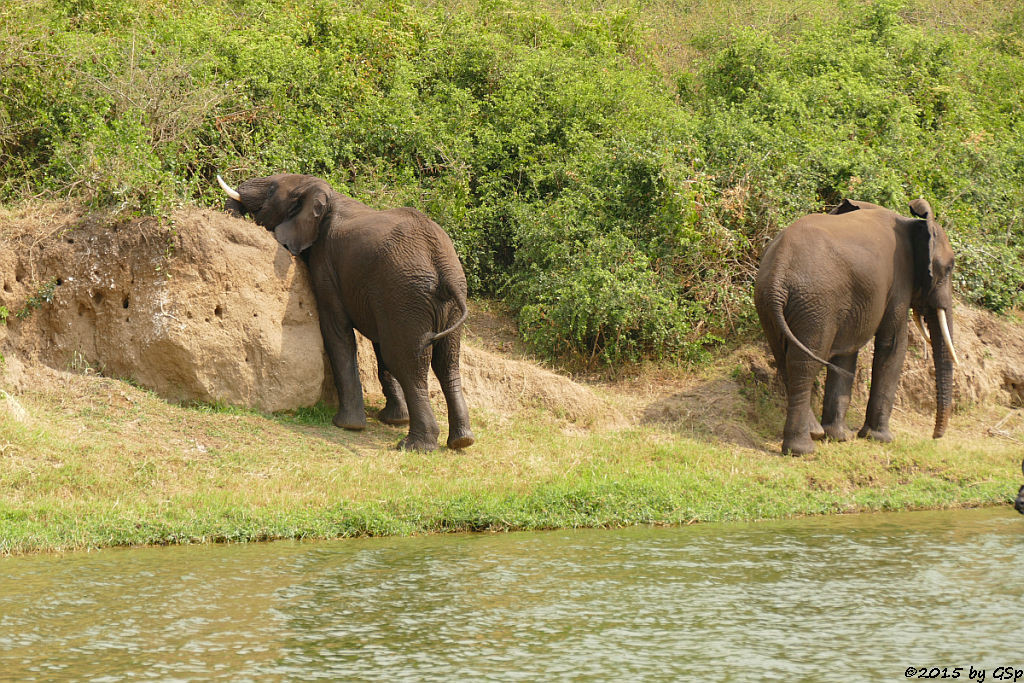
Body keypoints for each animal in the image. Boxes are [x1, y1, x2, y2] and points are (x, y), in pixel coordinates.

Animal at [218, 174, 473, 450]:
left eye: (272, 189)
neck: (324, 193)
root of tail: (443, 266)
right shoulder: (381, 296)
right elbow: (378, 345)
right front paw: (393, 419)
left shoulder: (327, 264)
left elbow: (337, 332)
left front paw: (347, 426)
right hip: (436, 300)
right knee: (446, 362)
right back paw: (462, 441)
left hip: (408, 292)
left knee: (408, 363)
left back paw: (414, 446)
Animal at [753, 197, 958, 456]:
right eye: (949, 268)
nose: (935, 436)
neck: (914, 223)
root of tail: (778, 274)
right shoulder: (899, 280)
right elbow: (893, 345)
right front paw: (880, 438)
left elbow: (847, 350)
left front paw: (839, 437)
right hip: (815, 303)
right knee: (804, 363)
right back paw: (803, 449)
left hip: (772, 305)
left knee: (784, 358)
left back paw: (815, 433)